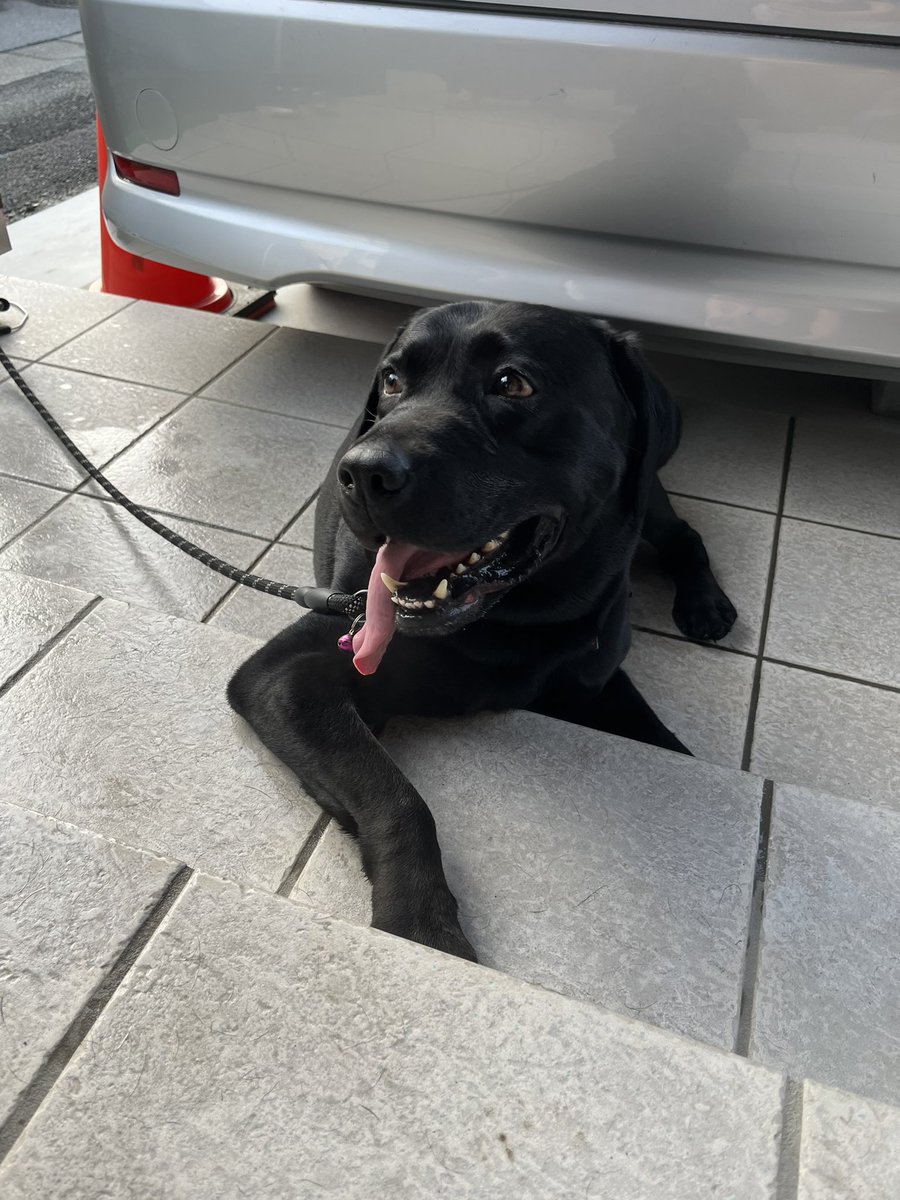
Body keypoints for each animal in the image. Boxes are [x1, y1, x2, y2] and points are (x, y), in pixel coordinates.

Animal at [228, 301, 737, 961]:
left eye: (512, 383)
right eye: (392, 380)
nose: (363, 473)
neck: (516, 628)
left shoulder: (598, 679)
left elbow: (665, 740)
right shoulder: (286, 673)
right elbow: (396, 794)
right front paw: (422, 923)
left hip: (649, 499)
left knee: (685, 536)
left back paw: (706, 604)